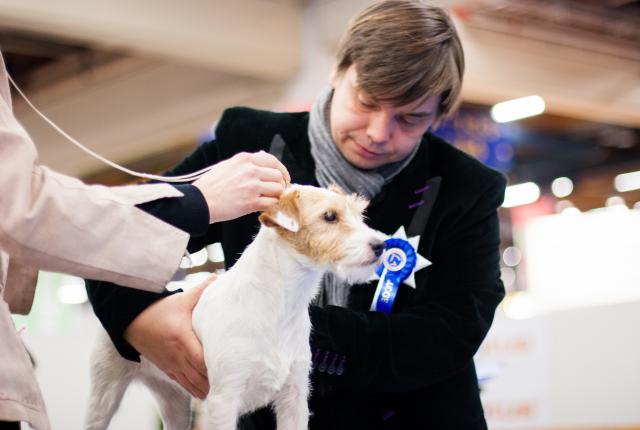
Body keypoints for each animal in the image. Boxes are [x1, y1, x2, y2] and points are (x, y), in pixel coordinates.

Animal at [85, 185, 384, 430]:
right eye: (329, 216)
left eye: (360, 214)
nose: (381, 245)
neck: (278, 303)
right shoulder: (223, 401)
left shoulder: (295, 396)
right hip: (104, 395)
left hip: (175, 402)